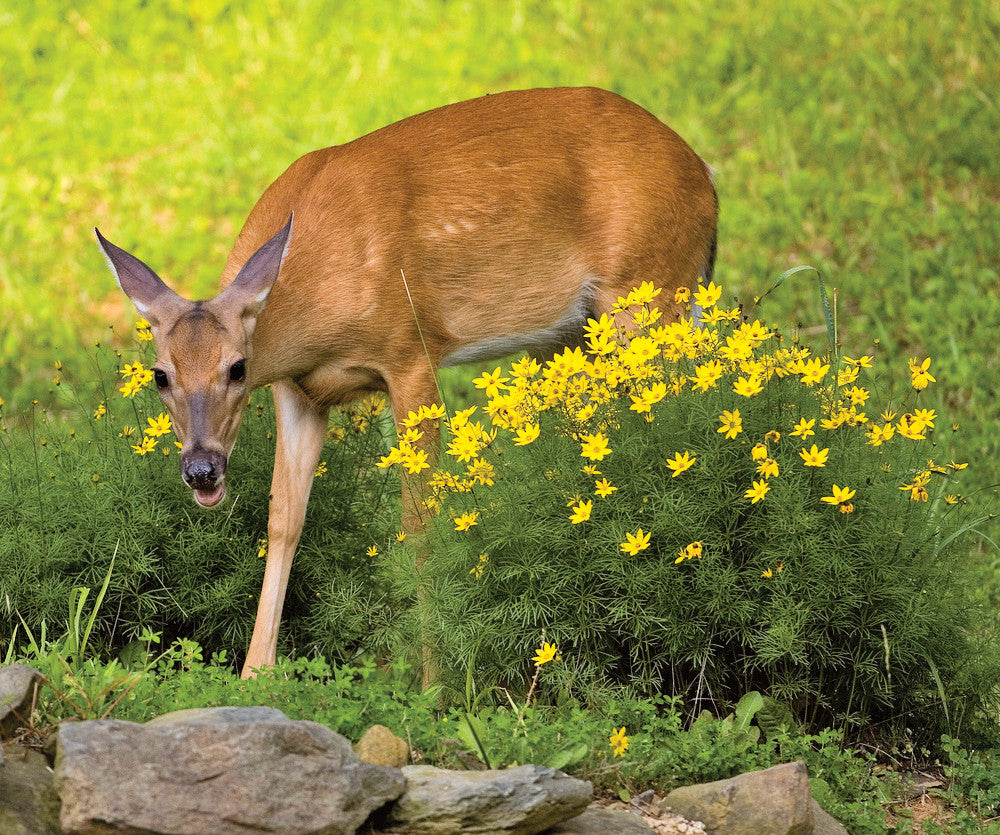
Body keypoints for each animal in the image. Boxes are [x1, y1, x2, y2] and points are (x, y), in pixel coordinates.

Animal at [95, 87, 718, 679]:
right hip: (570, 334)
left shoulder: (410, 353)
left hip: (650, 291)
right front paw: (255, 676)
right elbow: (283, 520)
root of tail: (705, 174)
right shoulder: (297, 392)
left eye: (237, 368)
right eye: (160, 375)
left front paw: (434, 680)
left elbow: (419, 526)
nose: (201, 469)